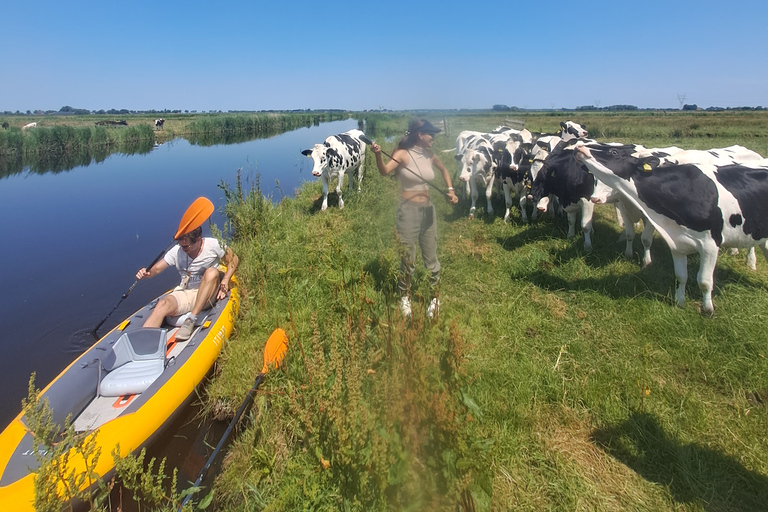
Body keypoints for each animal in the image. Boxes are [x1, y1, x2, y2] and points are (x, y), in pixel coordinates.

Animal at [572, 142, 768, 314]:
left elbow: (704, 280)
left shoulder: (710, 244)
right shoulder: (676, 242)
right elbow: (680, 275)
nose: (579, 146)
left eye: (613, 152)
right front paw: (679, 302)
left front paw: (707, 309)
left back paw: (750, 262)